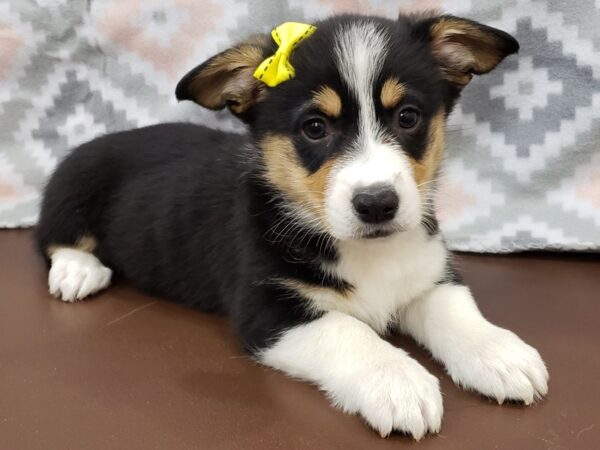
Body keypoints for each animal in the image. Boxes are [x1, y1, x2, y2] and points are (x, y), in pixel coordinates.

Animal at [34, 11, 548, 440]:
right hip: (74, 185)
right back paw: (78, 272)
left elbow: (457, 312)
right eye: (315, 127)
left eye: (408, 117)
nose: (377, 204)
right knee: (53, 238)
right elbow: (350, 332)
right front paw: (399, 382)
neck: (366, 250)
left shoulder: (429, 277)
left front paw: (500, 355)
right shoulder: (269, 311)